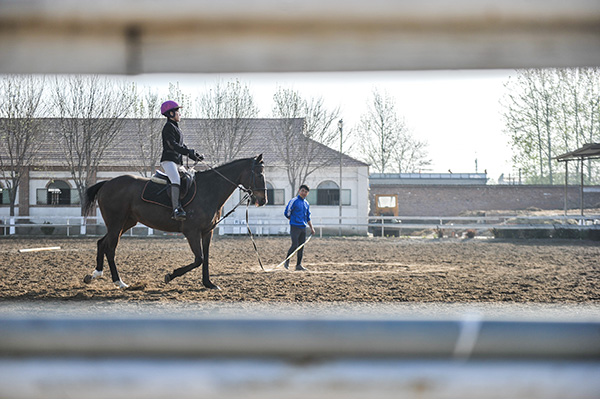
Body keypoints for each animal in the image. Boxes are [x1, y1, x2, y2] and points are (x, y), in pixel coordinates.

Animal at [82, 154, 268, 290]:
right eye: (259, 174)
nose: (263, 200)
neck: (209, 190)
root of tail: (107, 183)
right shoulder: (192, 232)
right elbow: (199, 259)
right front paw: (170, 276)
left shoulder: (207, 232)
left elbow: (206, 258)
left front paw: (209, 284)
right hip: (116, 223)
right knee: (110, 248)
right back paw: (118, 282)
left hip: (126, 223)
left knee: (102, 243)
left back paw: (95, 274)